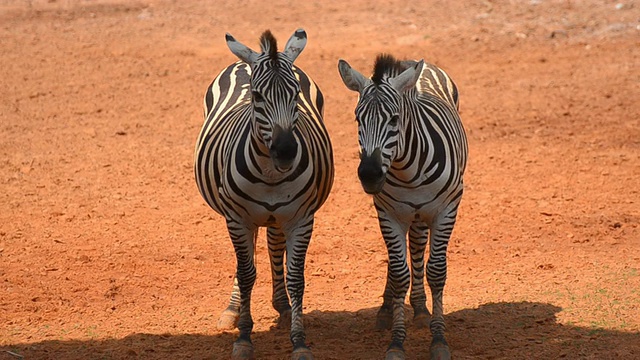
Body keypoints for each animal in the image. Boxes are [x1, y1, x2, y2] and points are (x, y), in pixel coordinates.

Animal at [194, 28, 336, 360]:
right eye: (257, 97)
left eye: (295, 94)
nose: (285, 151)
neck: (271, 175)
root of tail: (247, 58)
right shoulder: (237, 218)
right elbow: (246, 274)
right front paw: (244, 338)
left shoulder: (301, 219)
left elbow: (296, 278)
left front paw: (299, 341)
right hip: (238, 215)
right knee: (247, 261)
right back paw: (233, 310)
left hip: (278, 214)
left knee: (273, 244)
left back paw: (282, 305)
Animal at [338, 54, 468, 360]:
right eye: (357, 118)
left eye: (395, 119)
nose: (370, 174)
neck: (407, 169)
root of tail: (412, 62)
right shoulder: (388, 214)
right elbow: (399, 273)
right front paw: (396, 342)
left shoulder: (447, 209)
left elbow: (437, 271)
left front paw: (439, 339)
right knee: (406, 253)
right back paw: (390, 310)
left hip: (425, 211)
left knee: (418, 247)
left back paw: (420, 309)